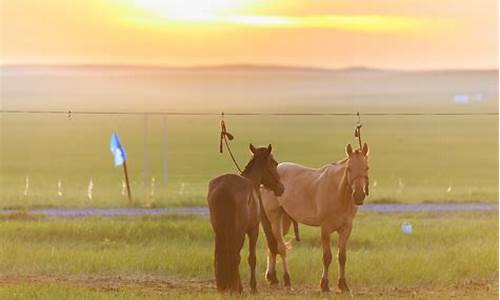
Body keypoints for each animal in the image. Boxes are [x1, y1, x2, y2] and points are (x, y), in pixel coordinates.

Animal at [208, 144, 286, 294]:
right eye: (274, 163)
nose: (281, 188)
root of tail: (224, 188)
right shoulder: (253, 230)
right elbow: (251, 258)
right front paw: (253, 286)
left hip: (219, 230)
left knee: (222, 254)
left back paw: (225, 286)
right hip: (237, 231)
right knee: (234, 255)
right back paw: (236, 287)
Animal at [260, 142, 370, 292]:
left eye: (366, 168)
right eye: (349, 168)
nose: (359, 195)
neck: (339, 193)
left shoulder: (346, 228)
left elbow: (342, 257)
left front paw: (343, 284)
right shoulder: (325, 229)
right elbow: (327, 257)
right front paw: (324, 285)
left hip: (284, 221)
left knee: (273, 245)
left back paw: (272, 278)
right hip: (274, 217)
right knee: (281, 247)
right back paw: (286, 279)